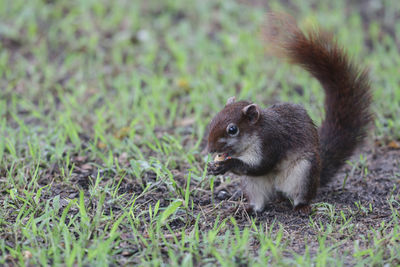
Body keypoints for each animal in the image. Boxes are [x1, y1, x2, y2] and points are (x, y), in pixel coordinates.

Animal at [206, 13, 372, 215]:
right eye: (213, 119)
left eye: (232, 129)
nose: (210, 148)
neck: (251, 140)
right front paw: (214, 167)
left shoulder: (271, 142)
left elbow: (261, 165)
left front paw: (226, 165)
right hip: (254, 184)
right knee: (259, 201)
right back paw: (248, 209)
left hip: (304, 173)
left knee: (300, 194)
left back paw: (302, 206)